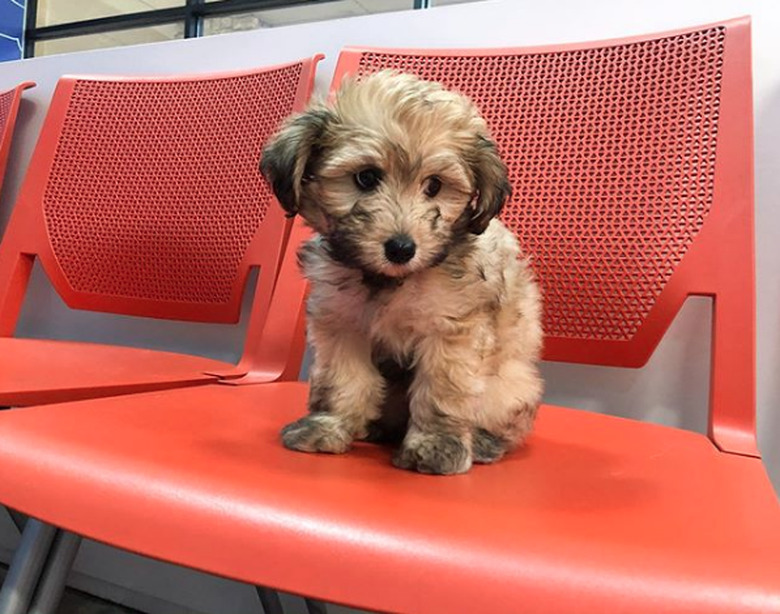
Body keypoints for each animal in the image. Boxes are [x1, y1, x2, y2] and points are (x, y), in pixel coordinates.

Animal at [262, 71, 544, 476]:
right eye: (366, 178)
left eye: (434, 185)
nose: (400, 248)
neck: (391, 281)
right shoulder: (342, 324)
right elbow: (344, 380)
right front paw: (329, 426)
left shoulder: (451, 331)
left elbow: (442, 390)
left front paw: (436, 444)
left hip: (509, 385)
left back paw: (484, 443)